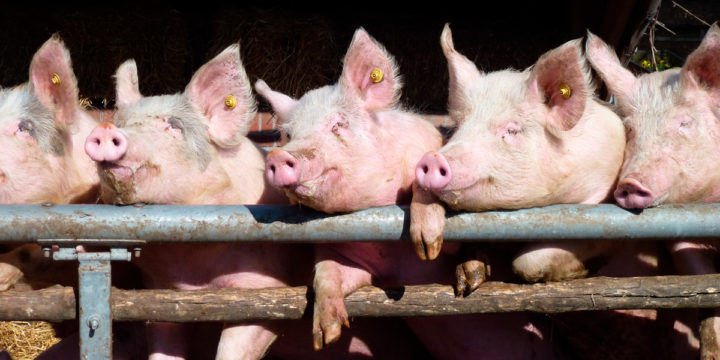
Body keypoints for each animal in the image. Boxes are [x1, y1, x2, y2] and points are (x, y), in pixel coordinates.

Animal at [256, 28, 560, 360]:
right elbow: (327, 273)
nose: (278, 156)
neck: (390, 255)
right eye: (288, 134)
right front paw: (326, 335)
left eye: (338, 124)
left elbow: (426, 185)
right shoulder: (352, 260)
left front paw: (444, 258)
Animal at [414, 23, 628, 292]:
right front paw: (466, 282)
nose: (432, 159)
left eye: (512, 130)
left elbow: (528, 261)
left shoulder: (608, 214)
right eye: (457, 127)